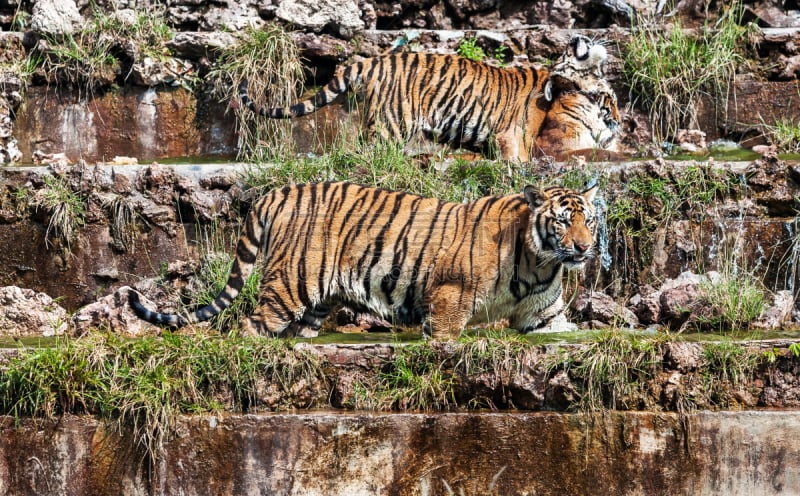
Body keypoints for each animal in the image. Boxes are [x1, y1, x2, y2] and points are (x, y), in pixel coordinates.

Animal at [128, 182, 596, 340]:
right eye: (563, 221)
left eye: (588, 219)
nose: (584, 248)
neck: (540, 262)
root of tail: (277, 191)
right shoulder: (450, 297)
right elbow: (446, 338)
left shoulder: (544, 316)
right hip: (289, 284)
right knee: (250, 326)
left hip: (315, 303)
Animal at [238, 34, 620, 161]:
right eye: (611, 99)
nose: (577, 38)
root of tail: (373, 60)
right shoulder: (514, 136)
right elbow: (521, 160)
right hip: (392, 123)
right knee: (369, 151)